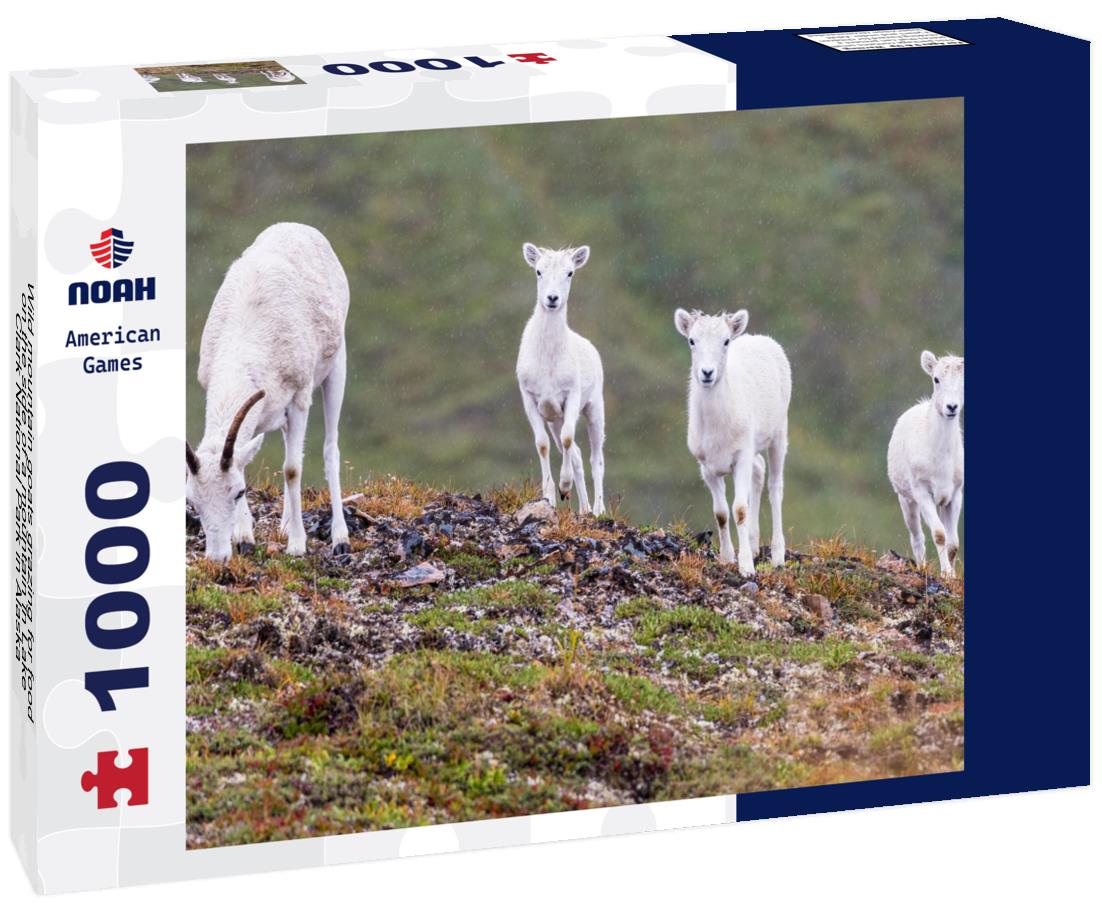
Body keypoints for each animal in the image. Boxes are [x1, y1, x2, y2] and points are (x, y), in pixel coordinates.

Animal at [186, 222, 350, 562]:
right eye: (193, 502)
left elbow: (292, 469)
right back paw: (286, 524)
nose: (218, 558)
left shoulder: (300, 400)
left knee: (330, 448)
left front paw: (297, 546)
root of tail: (299, 227)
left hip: (336, 368)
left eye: (237, 493)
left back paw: (340, 538)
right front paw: (245, 538)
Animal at [516, 243, 606, 515]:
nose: (552, 299)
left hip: (594, 410)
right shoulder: (531, 401)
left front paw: (564, 486)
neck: (548, 360)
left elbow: (568, 439)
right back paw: (584, 509)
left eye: (570, 273)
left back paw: (598, 509)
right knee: (576, 453)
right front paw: (551, 496)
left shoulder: (572, 397)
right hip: (555, 419)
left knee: (596, 459)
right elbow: (543, 445)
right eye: (538, 271)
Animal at [675, 309, 791, 576]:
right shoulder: (707, 468)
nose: (707, 373)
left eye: (726, 341)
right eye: (692, 341)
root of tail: (765, 340)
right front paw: (727, 557)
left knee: (775, 488)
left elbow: (739, 509)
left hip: (778, 437)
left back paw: (777, 556)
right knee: (759, 473)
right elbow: (721, 513)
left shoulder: (741, 458)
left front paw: (746, 567)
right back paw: (755, 545)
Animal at [887, 350, 964, 576]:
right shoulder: (922, 492)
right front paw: (945, 574)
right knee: (917, 538)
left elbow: (953, 543)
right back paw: (921, 567)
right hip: (907, 501)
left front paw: (952, 575)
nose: (951, 407)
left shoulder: (954, 495)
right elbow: (939, 535)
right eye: (936, 379)